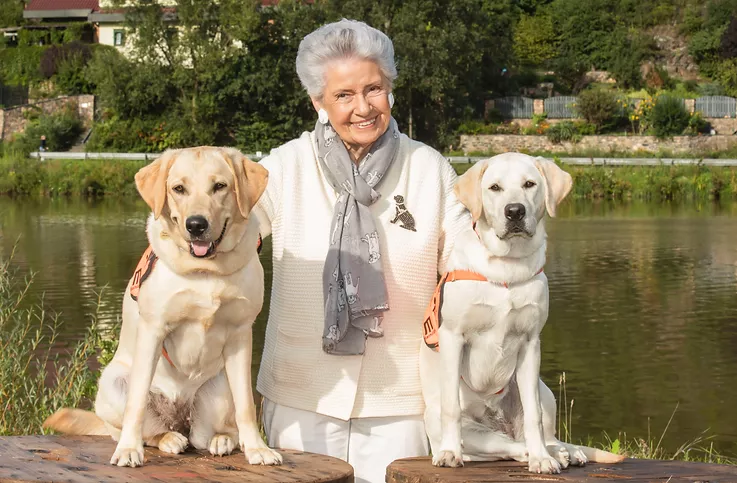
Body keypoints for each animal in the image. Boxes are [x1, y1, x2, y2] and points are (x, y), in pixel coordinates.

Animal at [43, 147, 282, 468]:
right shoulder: (153, 330)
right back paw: (166, 439)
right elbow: (136, 404)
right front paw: (129, 450)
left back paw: (222, 440)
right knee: (148, 429)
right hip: (112, 382)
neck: (206, 271)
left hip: (218, 389)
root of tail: (179, 417)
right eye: (178, 189)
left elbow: (245, 403)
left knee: (210, 432)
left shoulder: (241, 334)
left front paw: (257, 448)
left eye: (219, 186)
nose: (196, 224)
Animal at [420, 154, 620, 472]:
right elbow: (451, 407)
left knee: (542, 434)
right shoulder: (452, 337)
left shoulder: (530, 342)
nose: (514, 211)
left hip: (544, 390)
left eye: (529, 184)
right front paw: (450, 454)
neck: (507, 265)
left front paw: (543, 459)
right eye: (494, 187)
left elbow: (533, 418)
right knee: (501, 445)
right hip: (449, 423)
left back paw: (562, 452)